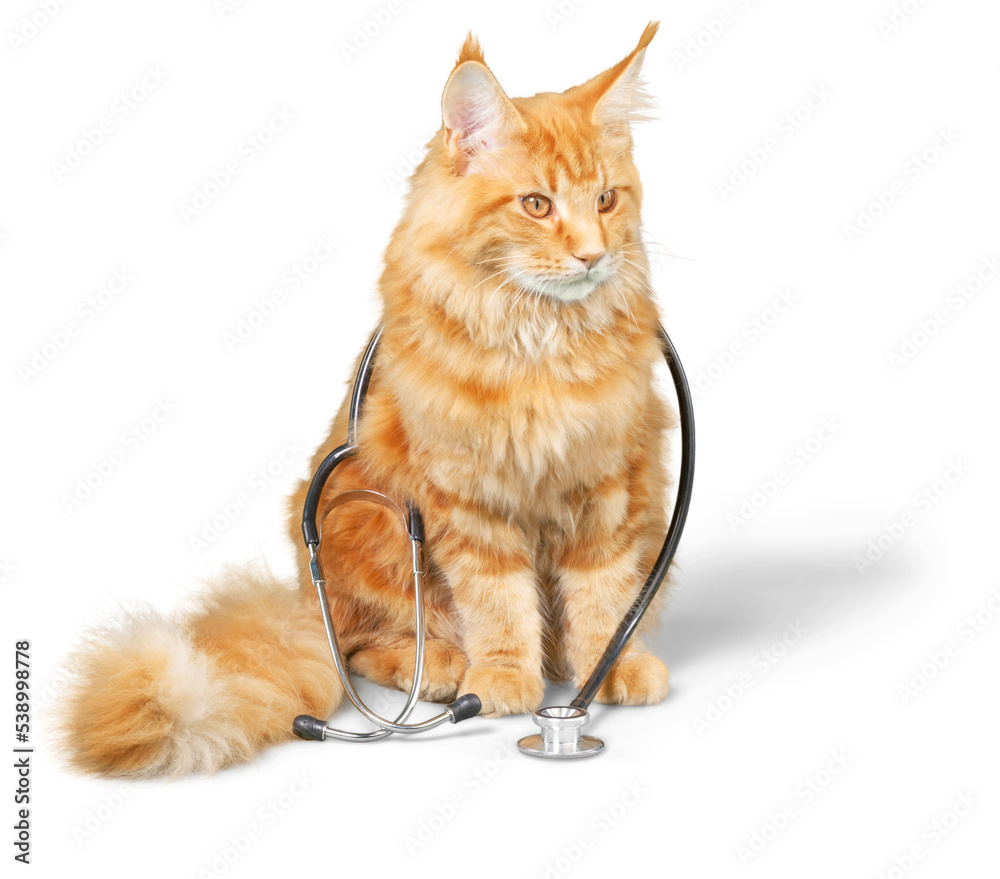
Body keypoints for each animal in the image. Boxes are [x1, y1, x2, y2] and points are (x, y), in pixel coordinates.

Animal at [60, 22, 672, 776]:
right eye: (537, 205)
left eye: (607, 201)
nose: (593, 255)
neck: (539, 342)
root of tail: (297, 598)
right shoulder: (466, 498)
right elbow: (498, 600)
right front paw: (504, 678)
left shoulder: (611, 482)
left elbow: (605, 600)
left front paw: (611, 668)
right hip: (357, 518)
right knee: (357, 646)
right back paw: (440, 668)